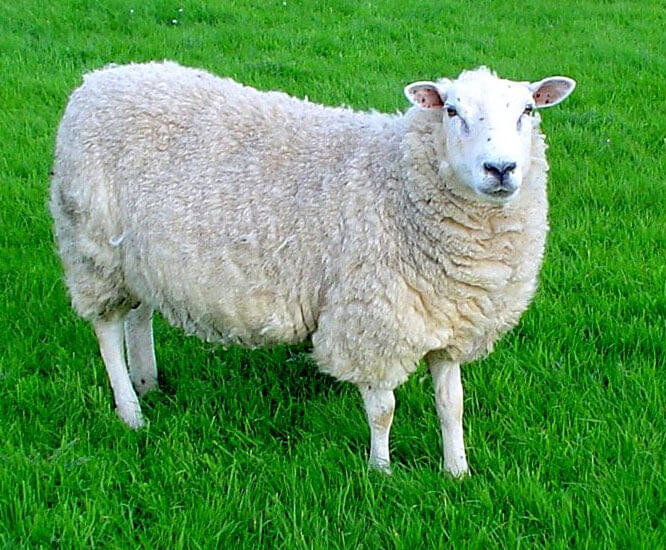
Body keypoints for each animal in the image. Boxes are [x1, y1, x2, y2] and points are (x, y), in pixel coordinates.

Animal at [50, 61, 575, 476]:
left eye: (528, 111)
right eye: (451, 111)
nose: (500, 169)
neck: (398, 182)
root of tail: (98, 79)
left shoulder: (446, 320)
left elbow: (452, 406)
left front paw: (457, 471)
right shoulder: (371, 321)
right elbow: (383, 410)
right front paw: (380, 472)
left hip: (137, 258)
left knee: (139, 316)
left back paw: (149, 382)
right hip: (92, 247)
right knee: (107, 330)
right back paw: (131, 411)